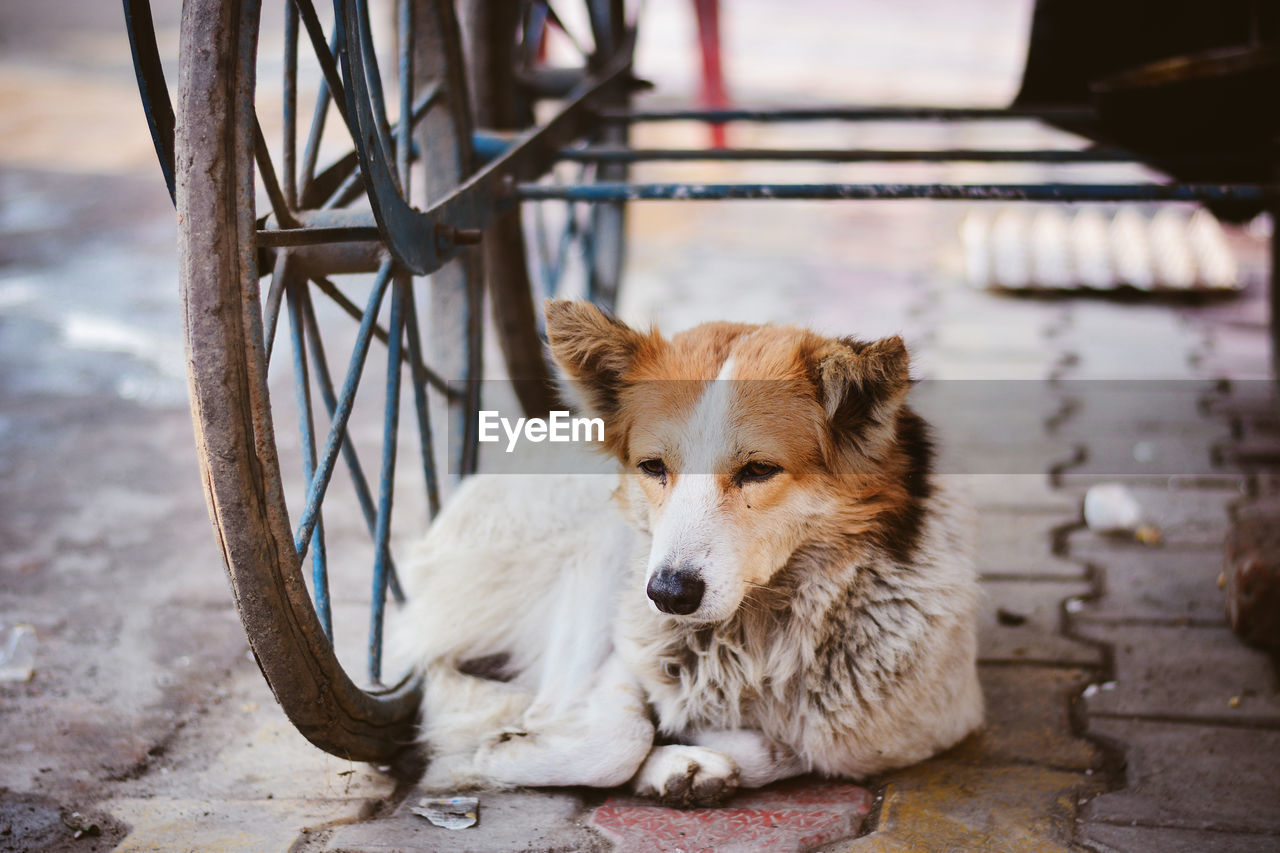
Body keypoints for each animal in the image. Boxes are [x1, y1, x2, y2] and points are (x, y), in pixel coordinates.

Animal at [386, 300, 977, 804]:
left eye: (758, 469)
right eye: (653, 467)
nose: (669, 595)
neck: (754, 632)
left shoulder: (920, 728)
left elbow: (787, 748)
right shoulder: (628, 637)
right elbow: (618, 737)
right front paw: (500, 752)